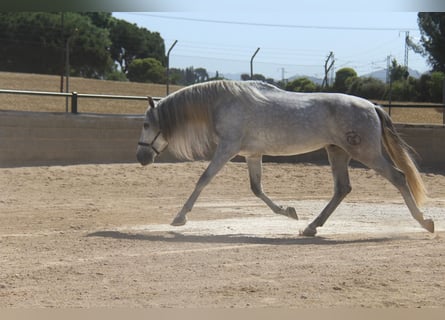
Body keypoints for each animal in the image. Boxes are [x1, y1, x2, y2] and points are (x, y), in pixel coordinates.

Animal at [136, 79, 434, 235]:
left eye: (146, 124)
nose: (140, 157)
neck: (224, 102)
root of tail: (372, 106)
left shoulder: (227, 149)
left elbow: (203, 179)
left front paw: (179, 218)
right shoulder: (252, 154)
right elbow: (257, 189)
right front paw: (289, 212)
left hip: (366, 153)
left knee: (399, 177)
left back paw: (425, 222)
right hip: (337, 152)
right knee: (342, 188)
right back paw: (311, 227)